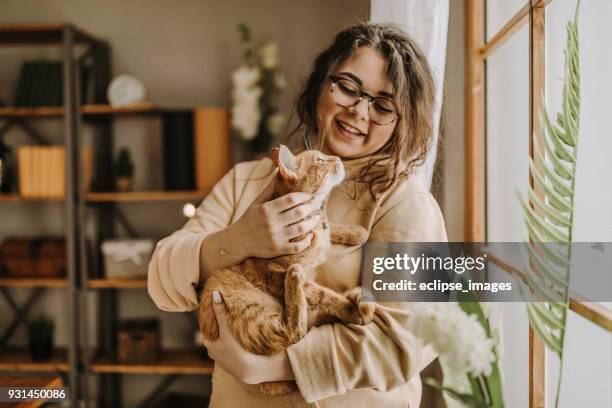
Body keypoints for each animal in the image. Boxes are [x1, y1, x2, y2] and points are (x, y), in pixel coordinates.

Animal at [198, 144, 376, 396]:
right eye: (321, 160)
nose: (338, 158)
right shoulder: (279, 276)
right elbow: (325, 296)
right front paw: (350, 309)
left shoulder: (322, 231)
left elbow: (331, 228)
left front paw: (356, 232)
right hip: (254, 309)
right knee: (293, 332)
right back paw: (297, 279)